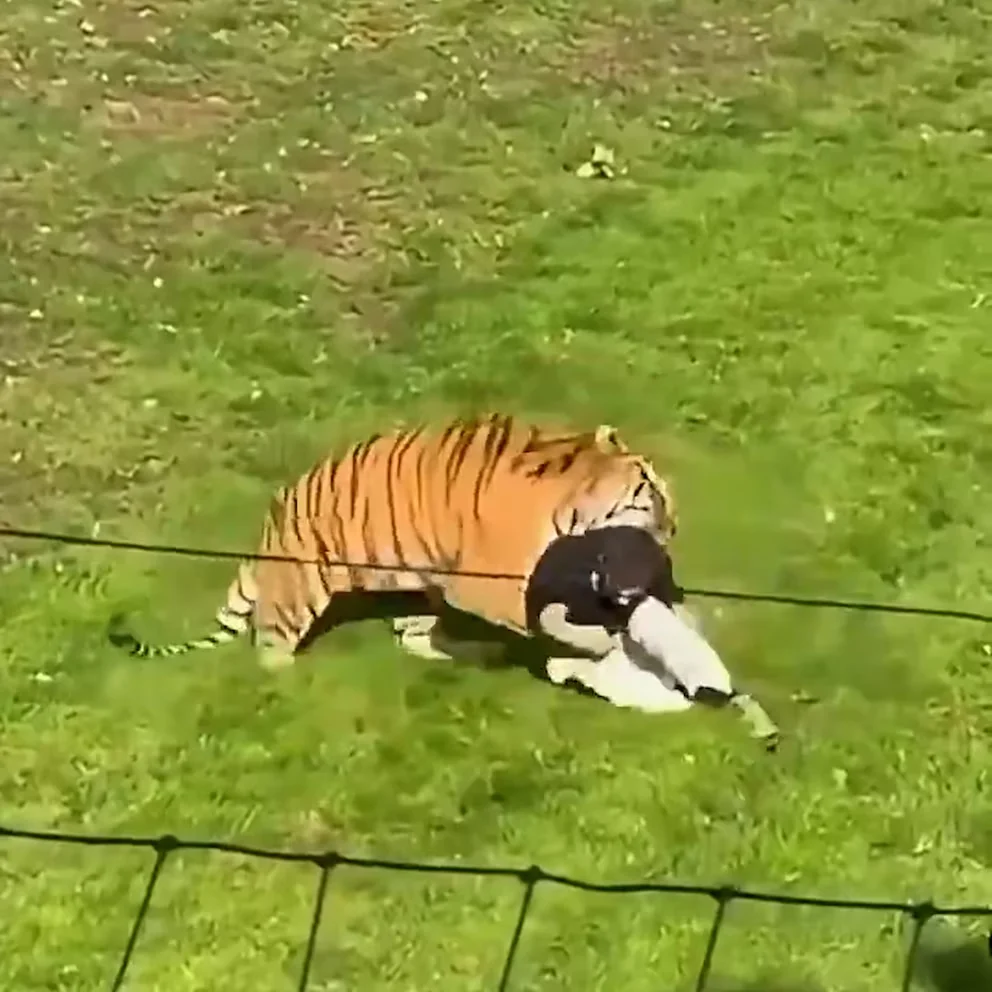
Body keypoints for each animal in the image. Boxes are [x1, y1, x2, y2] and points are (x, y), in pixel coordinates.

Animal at [107, 412, 677, 671]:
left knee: (410, 635)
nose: (674, 531)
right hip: (297, 589)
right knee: (269, 645)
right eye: (652, 493)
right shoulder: (490, 583)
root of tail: (271, 524)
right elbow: (541, 616)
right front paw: (599, 643)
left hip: (418, 584)